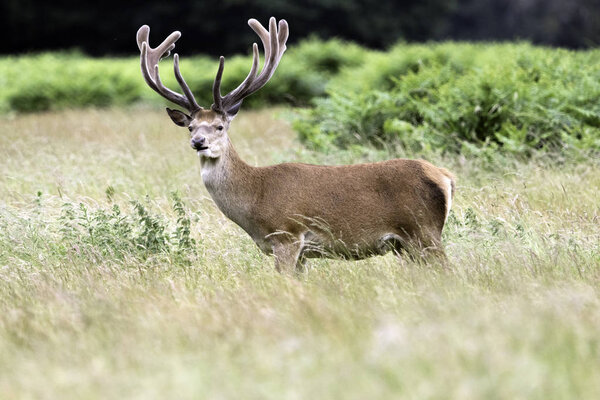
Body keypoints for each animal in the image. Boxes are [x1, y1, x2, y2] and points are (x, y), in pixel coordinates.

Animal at [136, 18, 454, 272]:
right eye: (190, 127)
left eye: (220, 126)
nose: (198, 142)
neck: (255, 197)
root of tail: (444, 176)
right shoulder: (299, 252)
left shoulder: (287, 235)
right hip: (407, 244)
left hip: (423, 230)